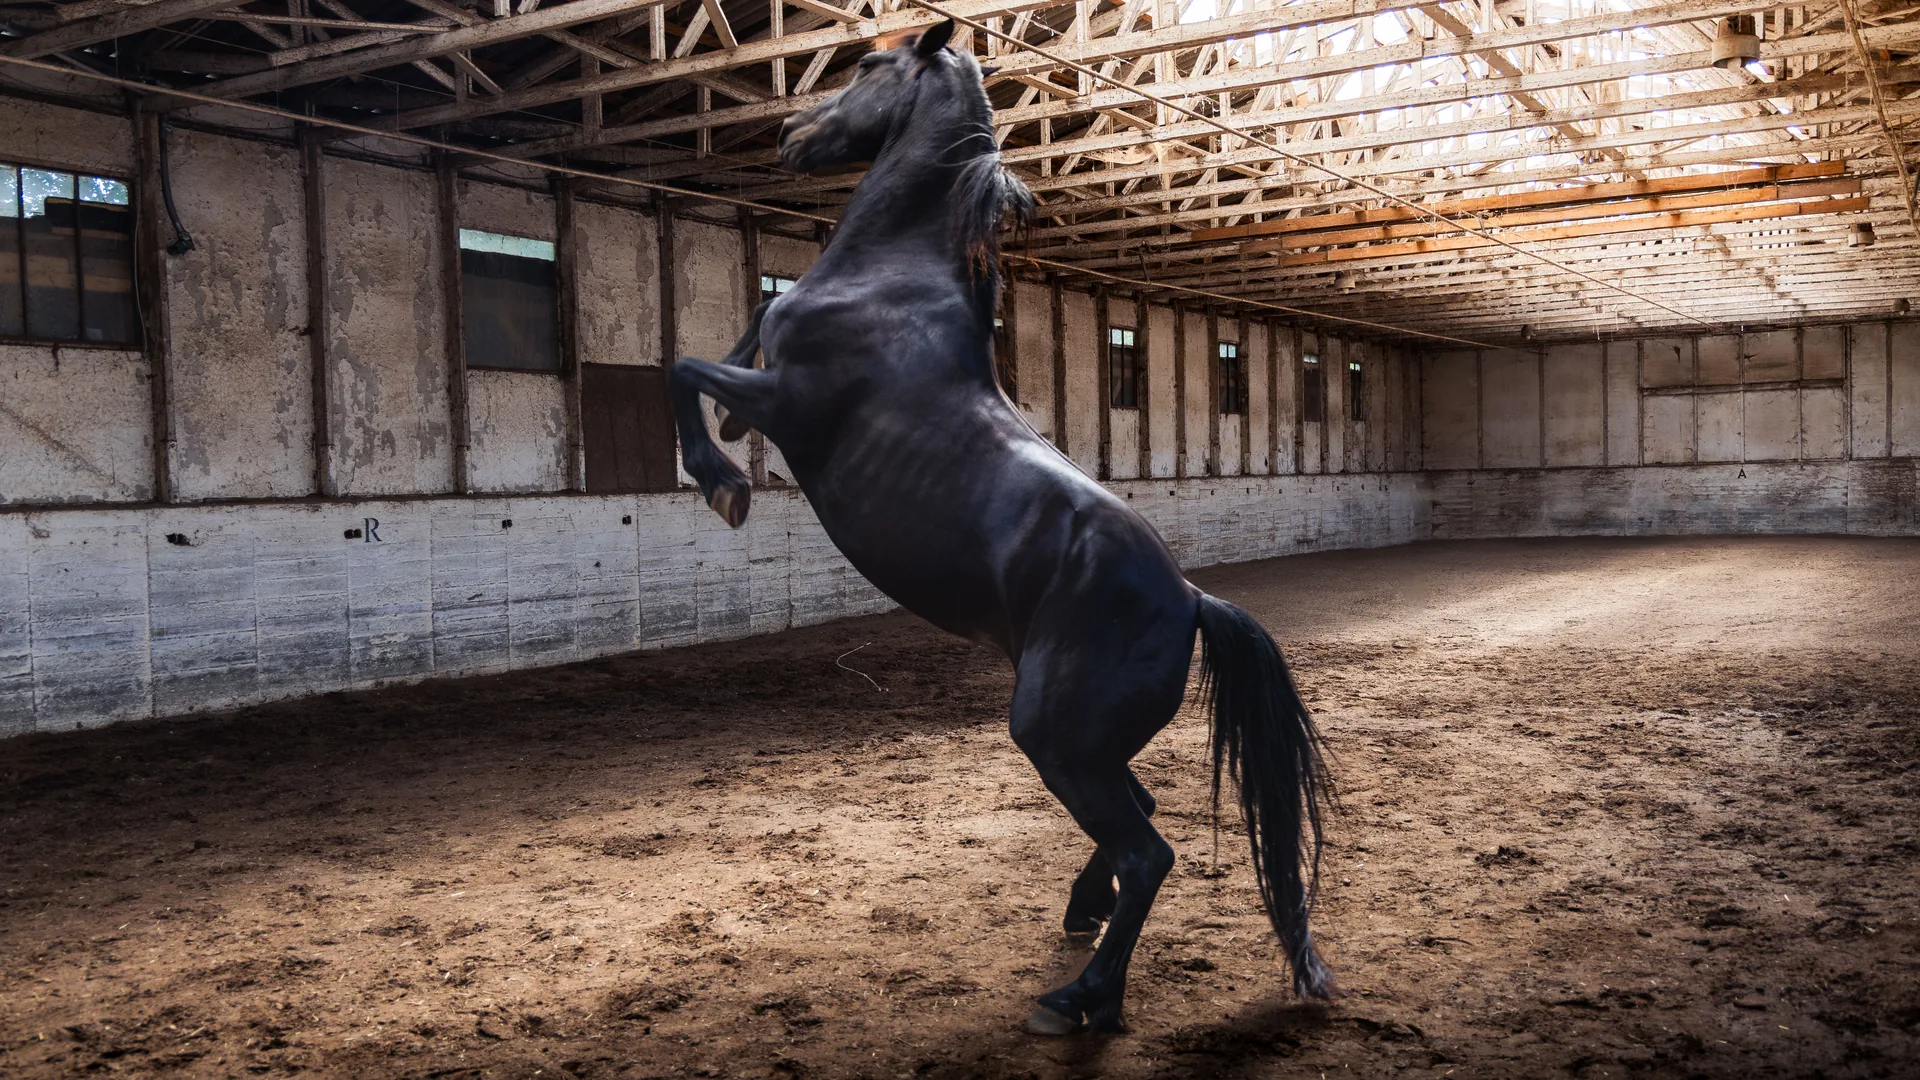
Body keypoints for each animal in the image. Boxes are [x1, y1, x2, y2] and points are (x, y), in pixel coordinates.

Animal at [665, 19, 1335, 1034]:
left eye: (870, 67)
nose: (790, 134)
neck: (891, 282)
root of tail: (1189, 597)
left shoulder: (794, 402)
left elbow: (683, 368)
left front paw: (723, 484)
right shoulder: (772, 356)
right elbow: (751, 315)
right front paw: (730, 448)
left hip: (1056, 737)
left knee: (1149, 851)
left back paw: (1081, 997)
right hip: (1085, 744)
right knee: (1141, 816)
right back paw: (1080, 915)